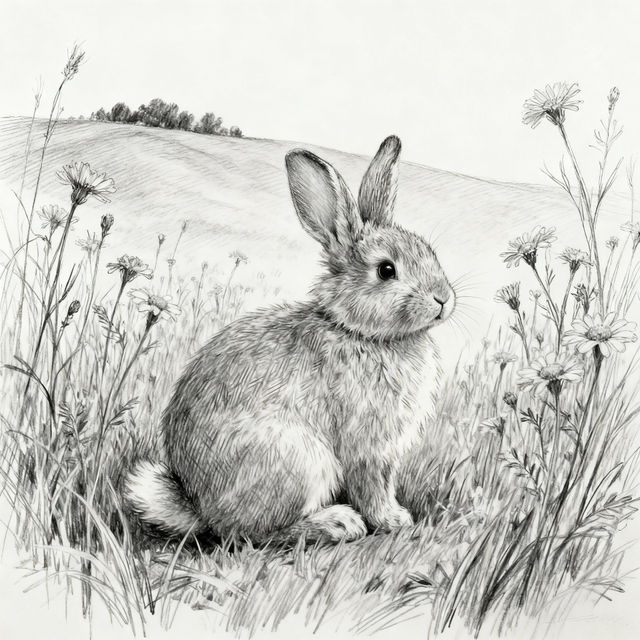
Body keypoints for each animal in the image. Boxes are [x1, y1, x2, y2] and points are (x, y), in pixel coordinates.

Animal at [125, 135, 456, 544]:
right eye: (386, 270)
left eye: (430, 252)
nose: (443, 299)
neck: (358, 332)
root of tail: (199, 506)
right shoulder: (366, 448)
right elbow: (372, 488)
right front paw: (392, 520)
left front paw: (397, 517)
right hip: (300, 459)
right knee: (251, 534)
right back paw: (337, 523)